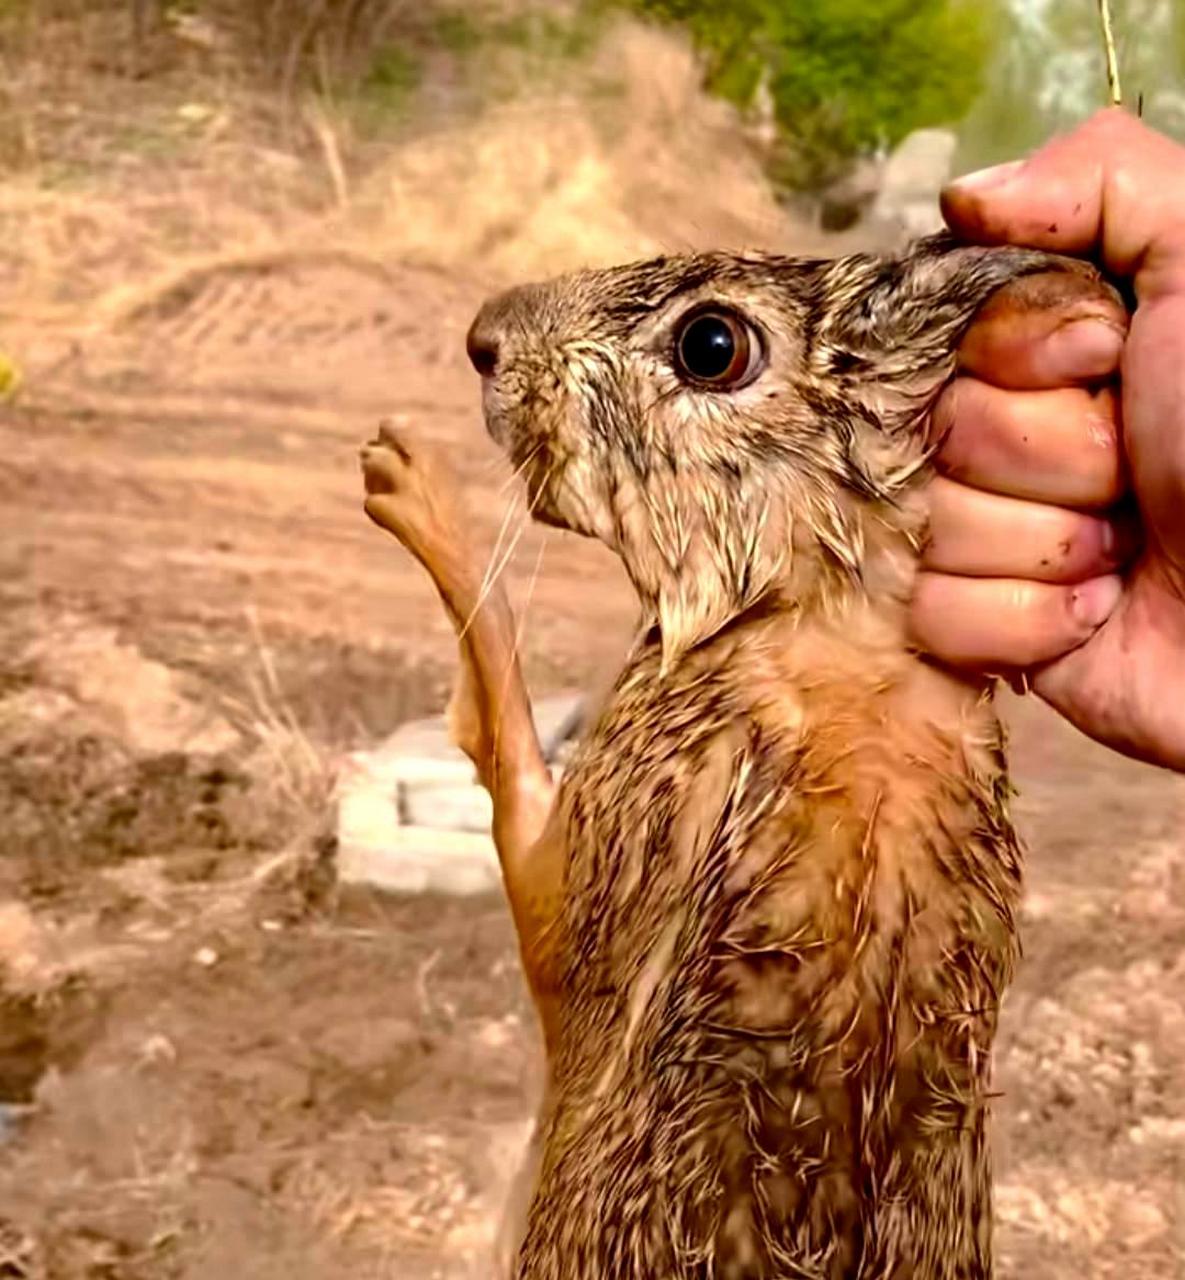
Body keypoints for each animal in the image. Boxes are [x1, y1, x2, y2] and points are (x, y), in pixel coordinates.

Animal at [360, 232, 1121, 1280]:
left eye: (710, 344)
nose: (485, 337)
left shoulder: (607, 850)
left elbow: (499, 721)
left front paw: (403, 480)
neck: (828, 606)